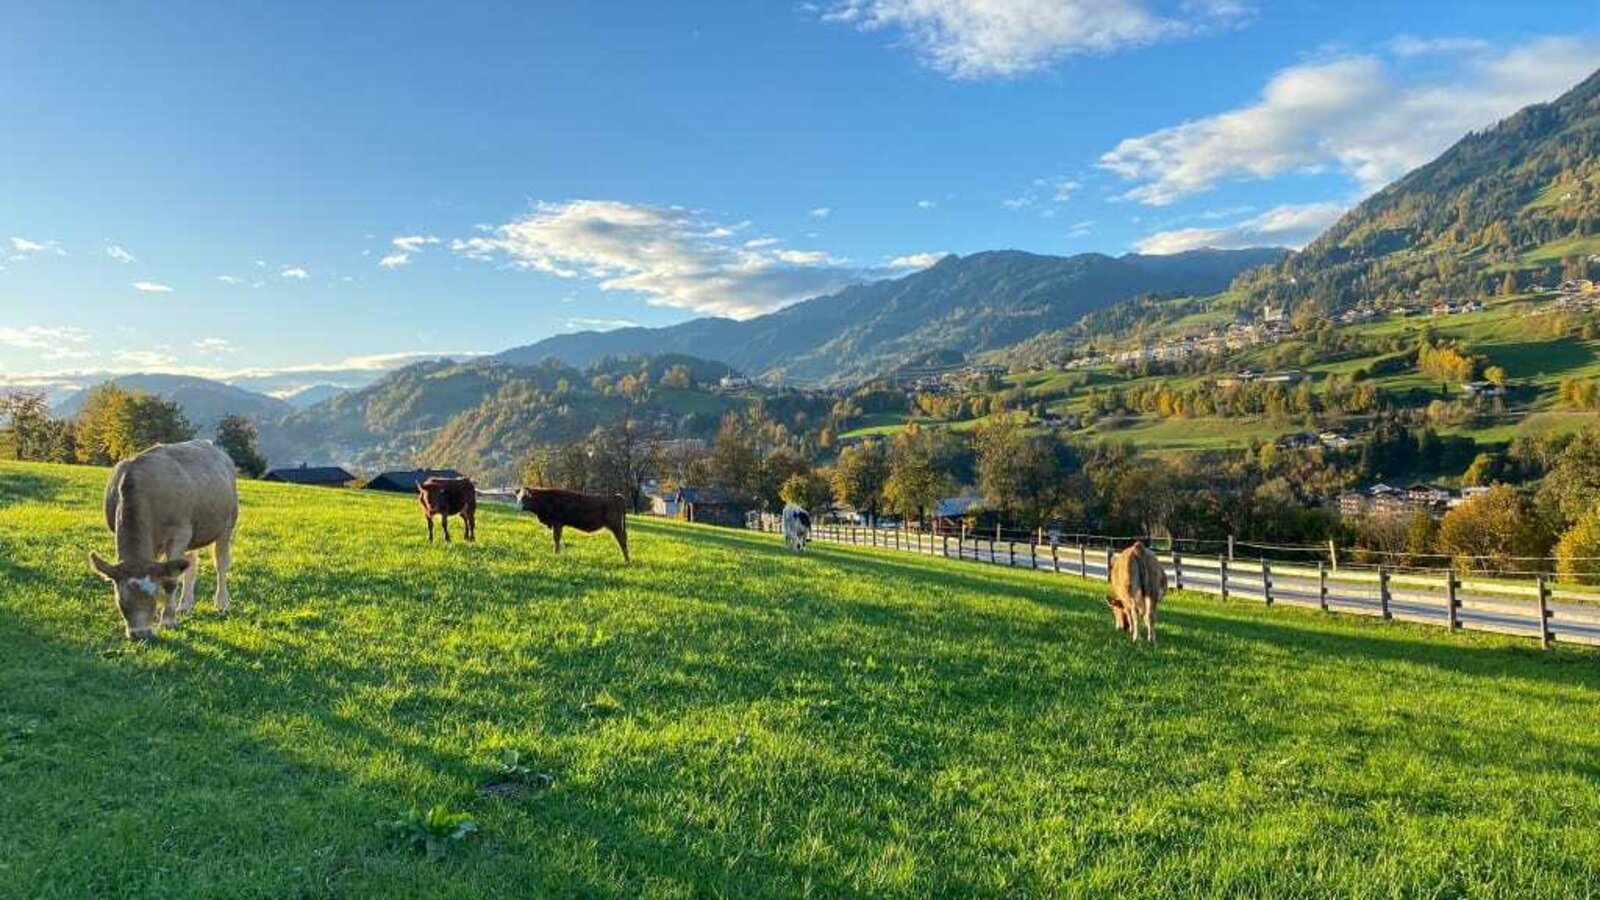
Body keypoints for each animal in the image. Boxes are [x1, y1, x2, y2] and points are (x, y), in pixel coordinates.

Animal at [90, 435, 236, 634]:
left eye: (152, 597)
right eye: (122, 601)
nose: (140, 634)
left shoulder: (180, 533)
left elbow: (170, 580)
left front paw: (167, 620)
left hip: (227, 524)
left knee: (220, 563)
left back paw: (221, 603)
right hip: (193, 532)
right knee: (191, 564)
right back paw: (185, 605)